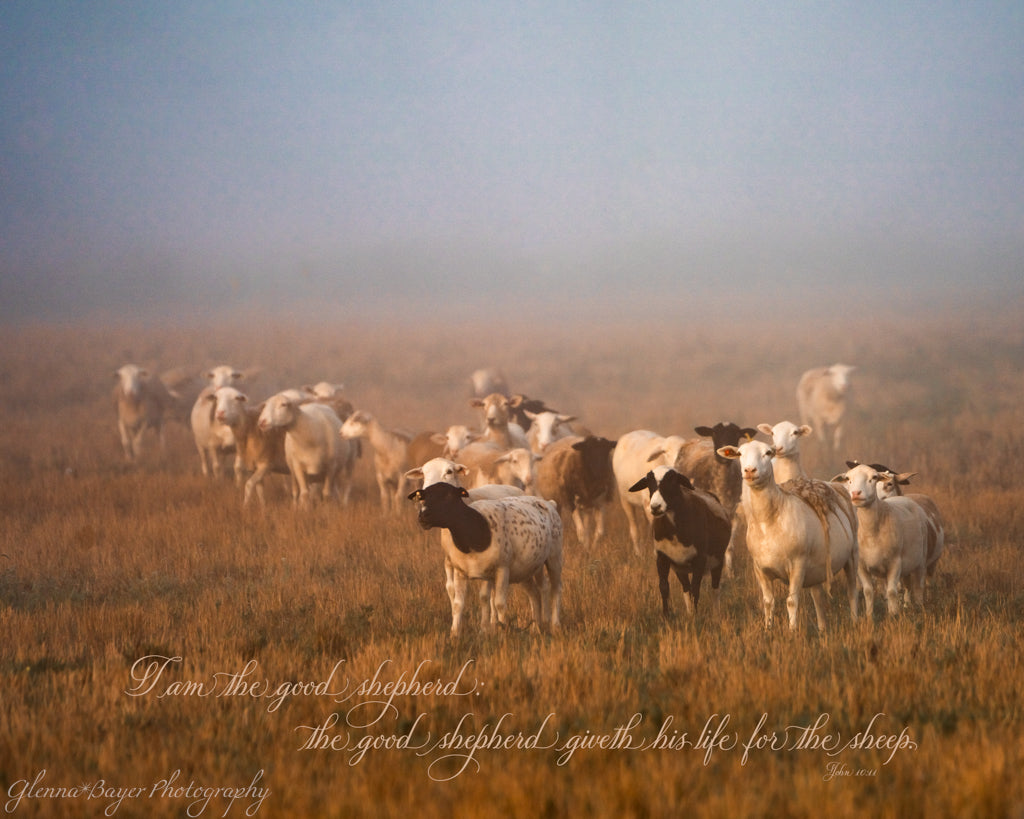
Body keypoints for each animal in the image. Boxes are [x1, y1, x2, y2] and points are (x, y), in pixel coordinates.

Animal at [407, 482, 563, 636]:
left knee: (555, 588)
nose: (423, 516)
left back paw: (554, 625)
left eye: (449, 496)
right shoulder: (462, 572)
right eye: (423, 497)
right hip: (525, 569)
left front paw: (502, 631)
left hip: (554, 557)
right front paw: (456, 633)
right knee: (535, 593)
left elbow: (498, 603)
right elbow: (461, 603)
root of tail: (549, 503)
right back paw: (536, 627)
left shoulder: (501, 569)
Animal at [628, 466, 731, 616]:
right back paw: (689, 614)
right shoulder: (662, 557)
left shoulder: (699, 559)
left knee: (715, 588)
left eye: (672, 481)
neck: (674, 532)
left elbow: (696, 590)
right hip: (680, 568)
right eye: (648, 483)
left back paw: (716, 615)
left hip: (717, 560)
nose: (655, 507)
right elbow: (664, 587)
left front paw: (697, 618)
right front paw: (666, 616)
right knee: (686, 589)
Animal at [717, 440, 860, 633]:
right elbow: (768, 602)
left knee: (852, 591)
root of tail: (834, 485)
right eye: (740, 454)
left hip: (852, 554)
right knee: (818, 596)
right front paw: (767, 629)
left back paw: (855, 621)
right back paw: (822, 629)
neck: (768, 521)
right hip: (816, 566)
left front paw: (792, 631)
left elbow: (791, 601)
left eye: (768, 453)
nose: (749, 470)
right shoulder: (760, 569)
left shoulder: (797, 564)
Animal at [833, 462, 930, 616]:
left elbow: (892, 592)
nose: (856, 493)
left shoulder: (895, 562)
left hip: (920, 560)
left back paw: (919, 608)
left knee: (918, 586)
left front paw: (894, 615)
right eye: (848, 479)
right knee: (907, 586)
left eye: (874, 477)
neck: (871, 533)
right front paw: (869, 616)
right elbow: (868, 591)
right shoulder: (861, 566)